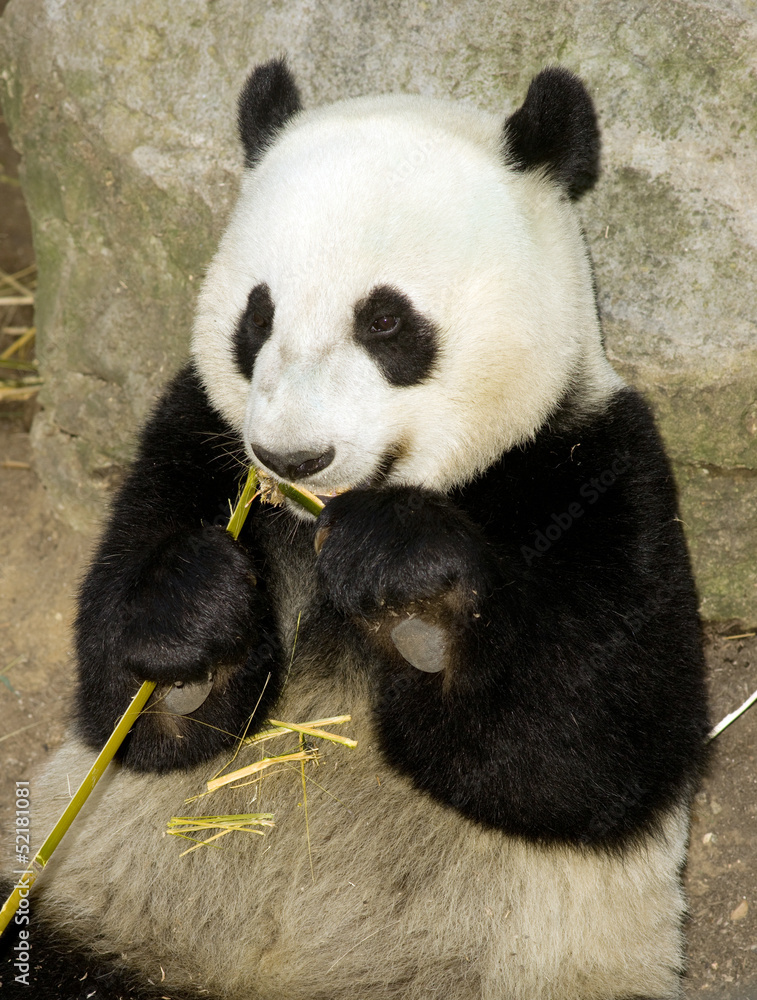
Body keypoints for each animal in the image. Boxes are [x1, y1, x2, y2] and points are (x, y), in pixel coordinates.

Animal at [1, 59, 709, 1000]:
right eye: (256, 318)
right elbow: (124, 701)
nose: (292, 456)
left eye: (386, 321)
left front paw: (414, 597)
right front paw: (190, 619)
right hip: (90, 913)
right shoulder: (194, 437)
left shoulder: (592, 464)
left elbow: (585, 752)